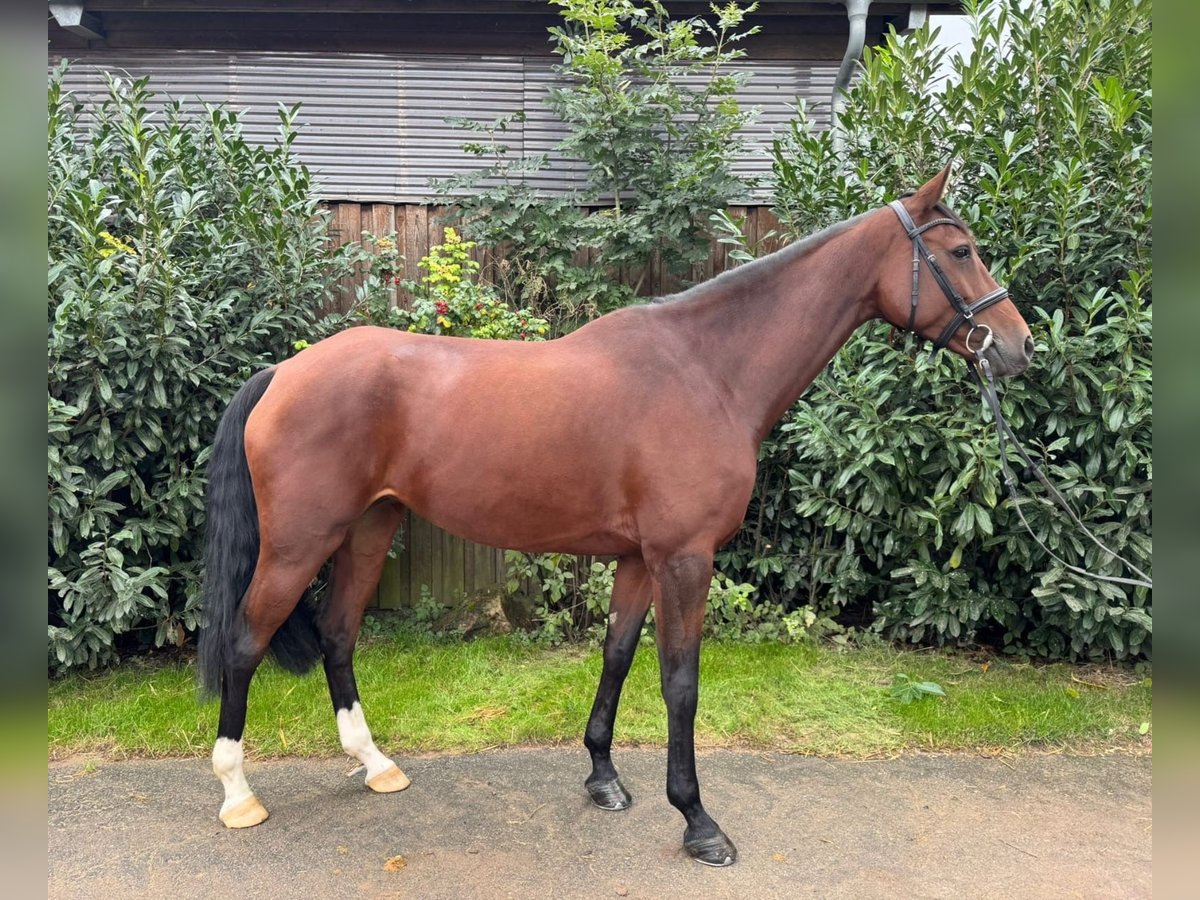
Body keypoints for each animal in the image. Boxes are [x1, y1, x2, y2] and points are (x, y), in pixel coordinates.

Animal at [196, 168, 1032, 868]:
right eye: (961, 250)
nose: (1019, 347)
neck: (706, 370)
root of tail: (283, 372)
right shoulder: (684, 559)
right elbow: (680, 682)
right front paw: (698, 822)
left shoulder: (639, 559)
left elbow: (619, 657)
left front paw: (602, 776)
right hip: (300, 543)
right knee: (245, 640)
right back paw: (237, 794)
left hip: (372, 527)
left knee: (338, 633)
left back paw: (376, 766)